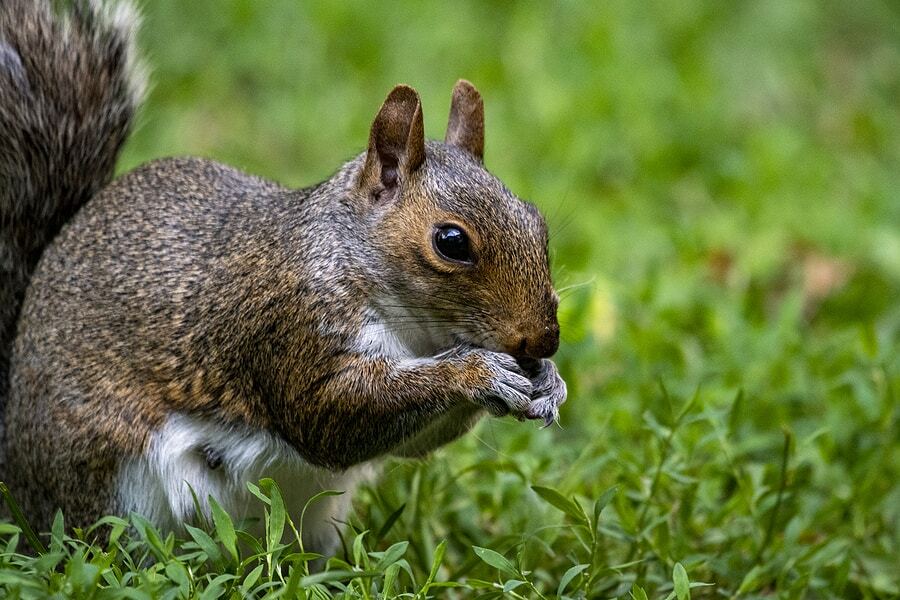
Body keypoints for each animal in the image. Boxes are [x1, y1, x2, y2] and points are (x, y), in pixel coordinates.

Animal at [0, 0, 566, 554]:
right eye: (451, 242)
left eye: (537, 221)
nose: (544, 340)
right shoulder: (291, 327)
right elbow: (332, 418)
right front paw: (477, 373)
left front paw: (547, 382)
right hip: (111, 493)